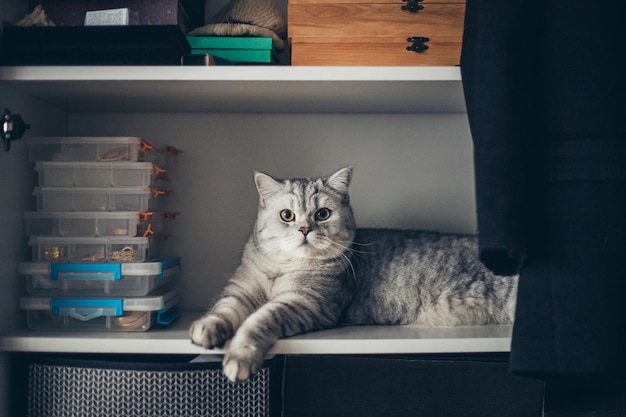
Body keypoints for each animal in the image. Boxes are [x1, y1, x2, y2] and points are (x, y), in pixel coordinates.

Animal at [189, 166, 516, 380]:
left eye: (322, 214)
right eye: (287, 215)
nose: (304, 229)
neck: (284, 267)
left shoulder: (304, 303)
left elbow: (259, 320)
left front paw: (239, 357)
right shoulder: (241, 291)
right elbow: (224, 310)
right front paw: (206, 328)